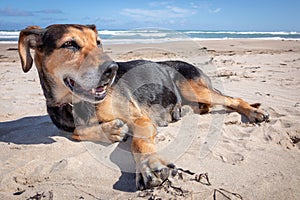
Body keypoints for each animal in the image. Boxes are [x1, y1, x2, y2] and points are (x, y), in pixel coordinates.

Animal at [17, 24, 268, 190]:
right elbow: (77, 133)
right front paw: (111, 130)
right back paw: (180, 111)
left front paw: (150, 164)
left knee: (233, 100)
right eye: (69, 44)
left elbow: (139, 142)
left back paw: (254, 112)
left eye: (98, 42)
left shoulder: (140, 119)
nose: (112, 69)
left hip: (193, 89)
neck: (79, 102)